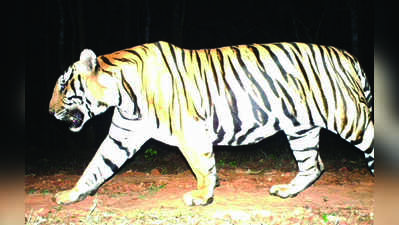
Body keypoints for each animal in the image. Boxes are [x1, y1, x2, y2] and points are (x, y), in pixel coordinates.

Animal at [49, 40, 376, 206]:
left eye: (63, 86)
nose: (50, 111)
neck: (123, 93)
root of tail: (348, 56)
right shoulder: (123, 135)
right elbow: (96, 166)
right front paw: (71, 194)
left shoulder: (190, 129)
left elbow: (201, 165)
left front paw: (202, 195)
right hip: (300, 128)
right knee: (313, 165)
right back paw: (286, 191)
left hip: (348, 116)